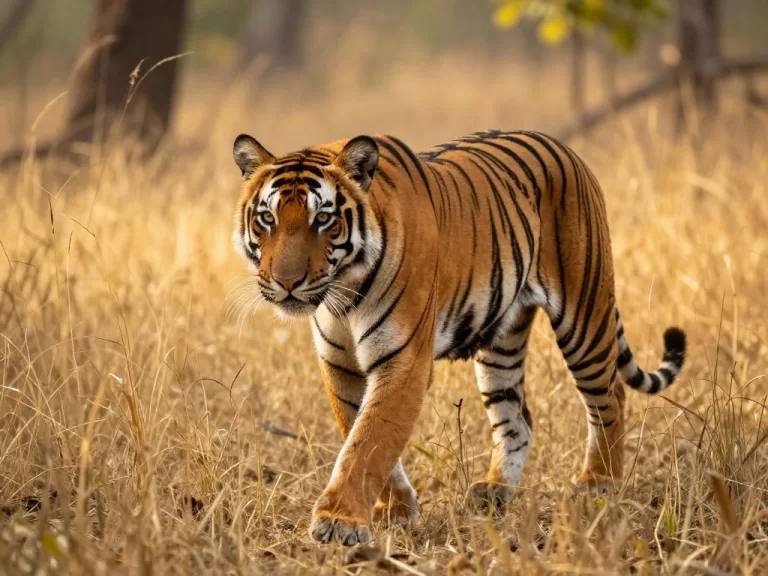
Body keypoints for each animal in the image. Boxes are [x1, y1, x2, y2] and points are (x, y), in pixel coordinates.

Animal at [231, 129, 687, 546]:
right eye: (267, 218)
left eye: (323, 218)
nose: (286, 282)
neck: (344, 291)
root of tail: (565, 149)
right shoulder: (340, 365)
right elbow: (360, 434)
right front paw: (395, 508)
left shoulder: (403, 361)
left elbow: (370, 440)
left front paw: (339, 521)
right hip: (501, 344)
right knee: (518, 419)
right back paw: (495, 490)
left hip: (584, 315)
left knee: (610, 396)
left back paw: (598, 483)